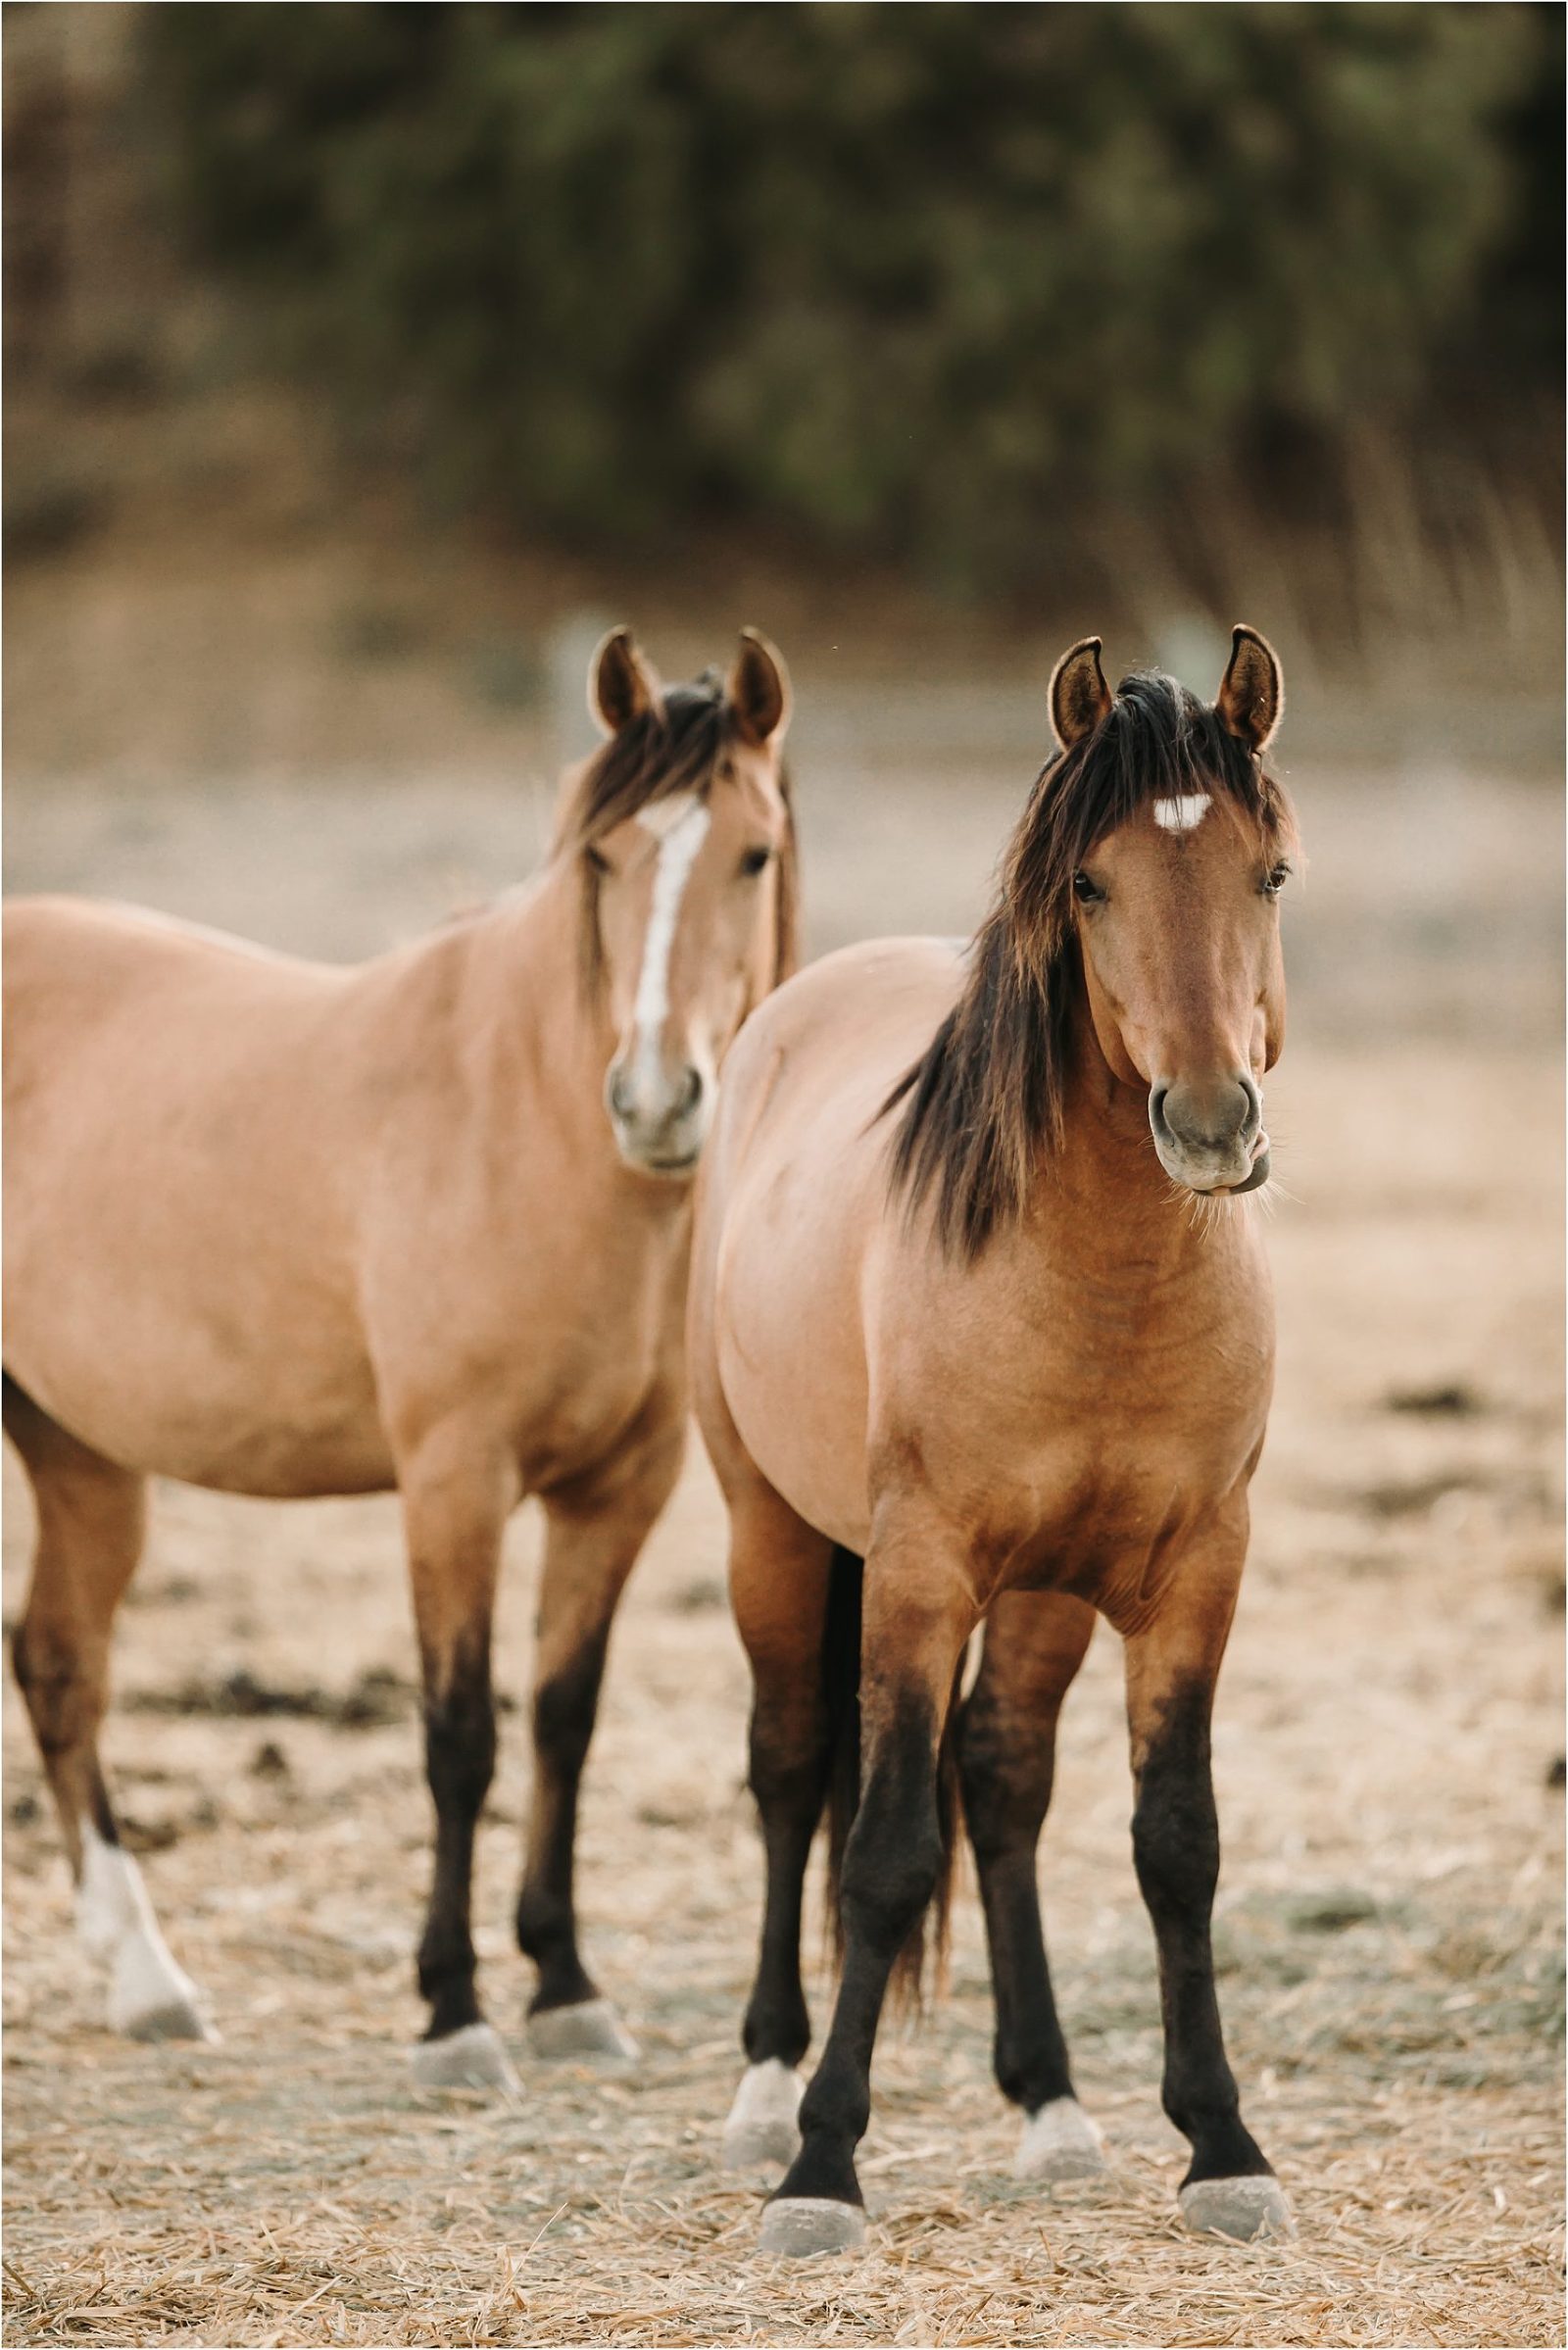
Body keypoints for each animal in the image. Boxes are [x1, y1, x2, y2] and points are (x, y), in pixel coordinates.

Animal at [3, 624, 799, 2096]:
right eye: (603, 859)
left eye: (753, 856)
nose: (656, 1101)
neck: (531, 1116)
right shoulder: (451, 1480)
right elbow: (458, 1734)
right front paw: (453, 2011)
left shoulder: (621, 1489)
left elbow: (561, 1719)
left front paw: (565, 1985)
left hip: (84, 1453)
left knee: (61, 1662)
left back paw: (146, 1980)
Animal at [696, 624, 1298, 2256]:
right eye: (1089, 883)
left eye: (1269, 872)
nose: (1210, 1123)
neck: (1097, 1277)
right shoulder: (918, 1571)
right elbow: (888, 1849)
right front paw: (822, 2165)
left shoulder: (1194, 1572)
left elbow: (1179, 1840)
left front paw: (1222, 2143)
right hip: (773, 1528)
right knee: (791, 1767)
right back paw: (766, 2085)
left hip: (1042, 1592)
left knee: (1007, 1775)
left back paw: (1051, 2102)